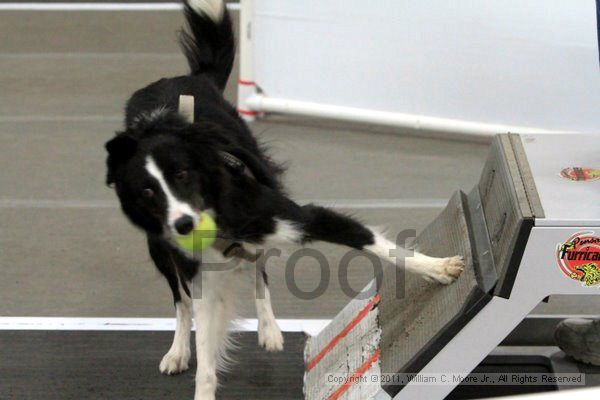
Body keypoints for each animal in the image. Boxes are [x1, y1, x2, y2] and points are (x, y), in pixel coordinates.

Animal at [104, 1, 464, 398]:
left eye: (182, 174)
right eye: (147, 192)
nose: (183, 224)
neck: (219, 214)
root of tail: (181, 79)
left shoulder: (295, 216)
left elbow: (379, 246)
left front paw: (439, 268)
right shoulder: (200, 273)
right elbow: (204, 342)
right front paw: (200, 377)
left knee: (258, 267)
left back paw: (269, 328)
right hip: (159, 248)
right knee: (182, 300)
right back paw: (179, 349)